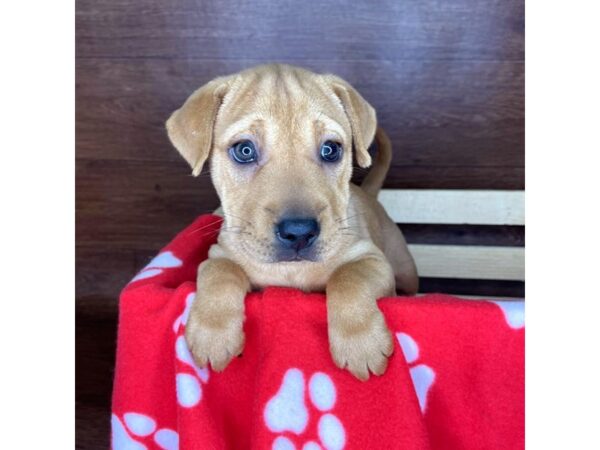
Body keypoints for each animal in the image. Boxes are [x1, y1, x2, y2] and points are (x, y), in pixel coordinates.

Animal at [164, 63, 418, 380]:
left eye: (330, 149)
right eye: (244, 150)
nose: (299, 232)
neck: (291, 272)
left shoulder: (371, 258)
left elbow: (347, 276)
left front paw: (360, 343)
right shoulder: (220, 252)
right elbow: (219, 271)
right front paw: (213, 332)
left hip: (404, 269)